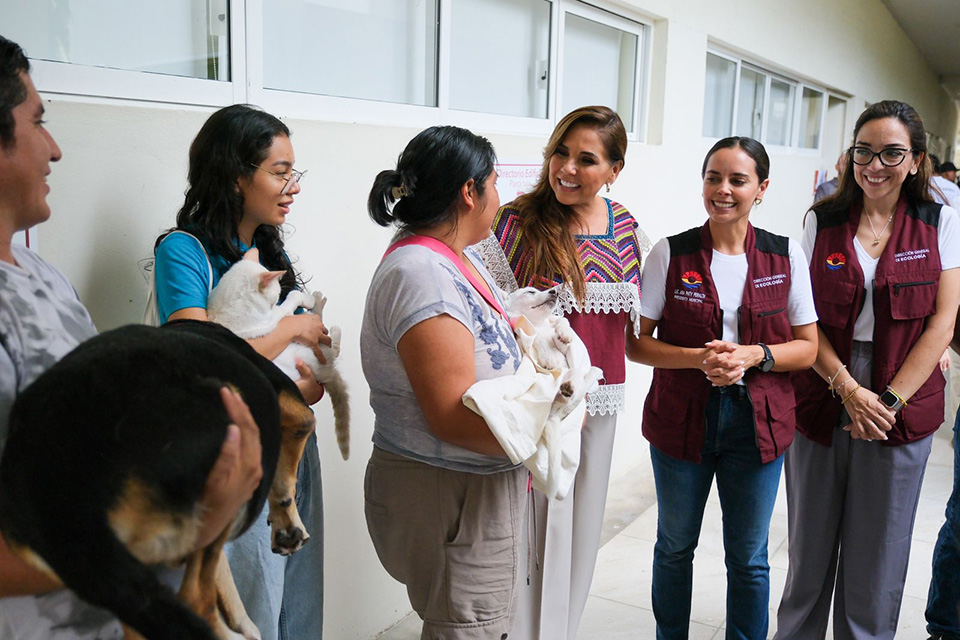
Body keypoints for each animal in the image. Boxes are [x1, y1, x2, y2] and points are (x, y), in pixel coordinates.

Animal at [208, 249, 350, 460]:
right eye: (275, 296)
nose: (274, 301)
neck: (226, 305)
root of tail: (326, 373)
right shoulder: (274, 318)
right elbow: (293, 297)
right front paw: (305, 299)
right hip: (306, 352)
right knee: (331, 348)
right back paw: (324, 315)